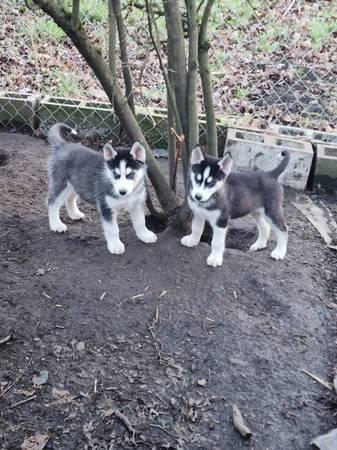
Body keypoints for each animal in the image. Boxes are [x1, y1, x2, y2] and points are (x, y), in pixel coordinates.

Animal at [47, 123, 158, 255]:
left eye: (130, 174)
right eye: (116, 175)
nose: (122, 192)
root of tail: (64, 145)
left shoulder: (137, 203)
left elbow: (141, 222)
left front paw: (145, 235)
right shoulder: (106, 207)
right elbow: (113, 229)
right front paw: (115, 245)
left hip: (77, 183)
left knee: (70, 198)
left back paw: (74, 214)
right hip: (62, 183)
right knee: (52, 203)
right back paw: (56, 225)